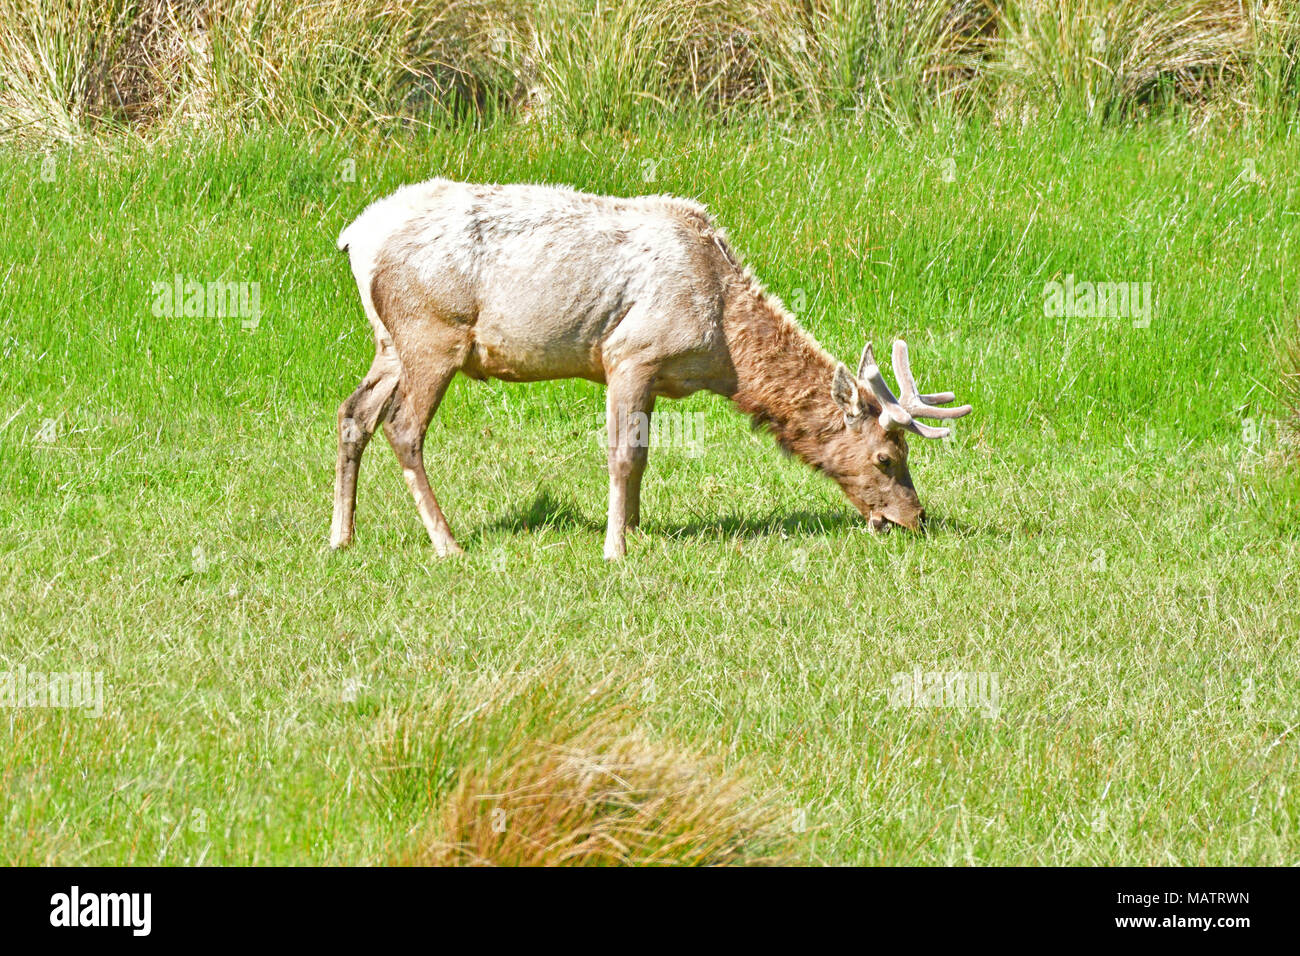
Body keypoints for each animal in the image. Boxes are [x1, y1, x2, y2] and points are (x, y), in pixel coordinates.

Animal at [330, 179, 972, 561]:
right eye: (886, 457)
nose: (915, 518)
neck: (721, 348)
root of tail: (355, 238)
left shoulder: (656, 375)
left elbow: (643, 457)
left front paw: (636, 529)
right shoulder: (629, 353)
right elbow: (622, 455)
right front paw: (615, 547)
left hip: (389, 341)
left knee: (353, 413)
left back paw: (342, 537)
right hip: (431, 333)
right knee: (403, 428)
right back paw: (447, 543)